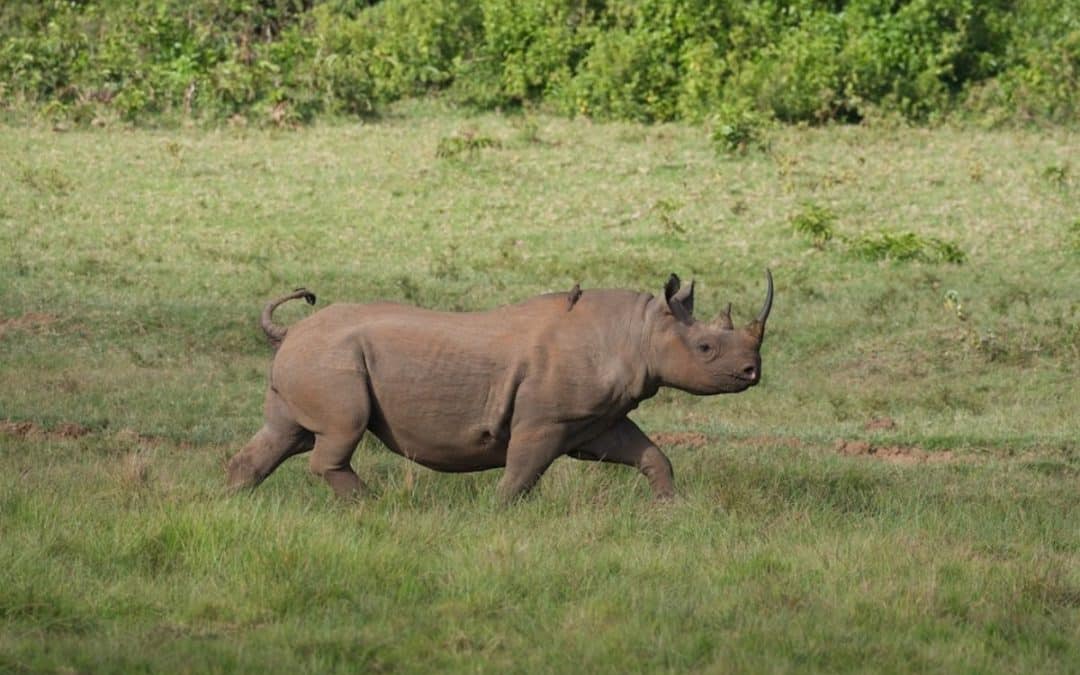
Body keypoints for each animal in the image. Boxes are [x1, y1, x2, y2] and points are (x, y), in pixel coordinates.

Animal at [226, 271, 773, 502]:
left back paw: (234, 500)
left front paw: (670, 508)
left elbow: (652, 455)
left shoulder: (599, 418)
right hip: (332, 361)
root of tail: (291, 332)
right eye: (706, 348)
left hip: (311, 358)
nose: (753, 372)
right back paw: (374, 506)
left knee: (285, 434)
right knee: (340, 431)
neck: (636, 331)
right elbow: (523, 472)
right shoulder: (547, 419)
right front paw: (498, 512)